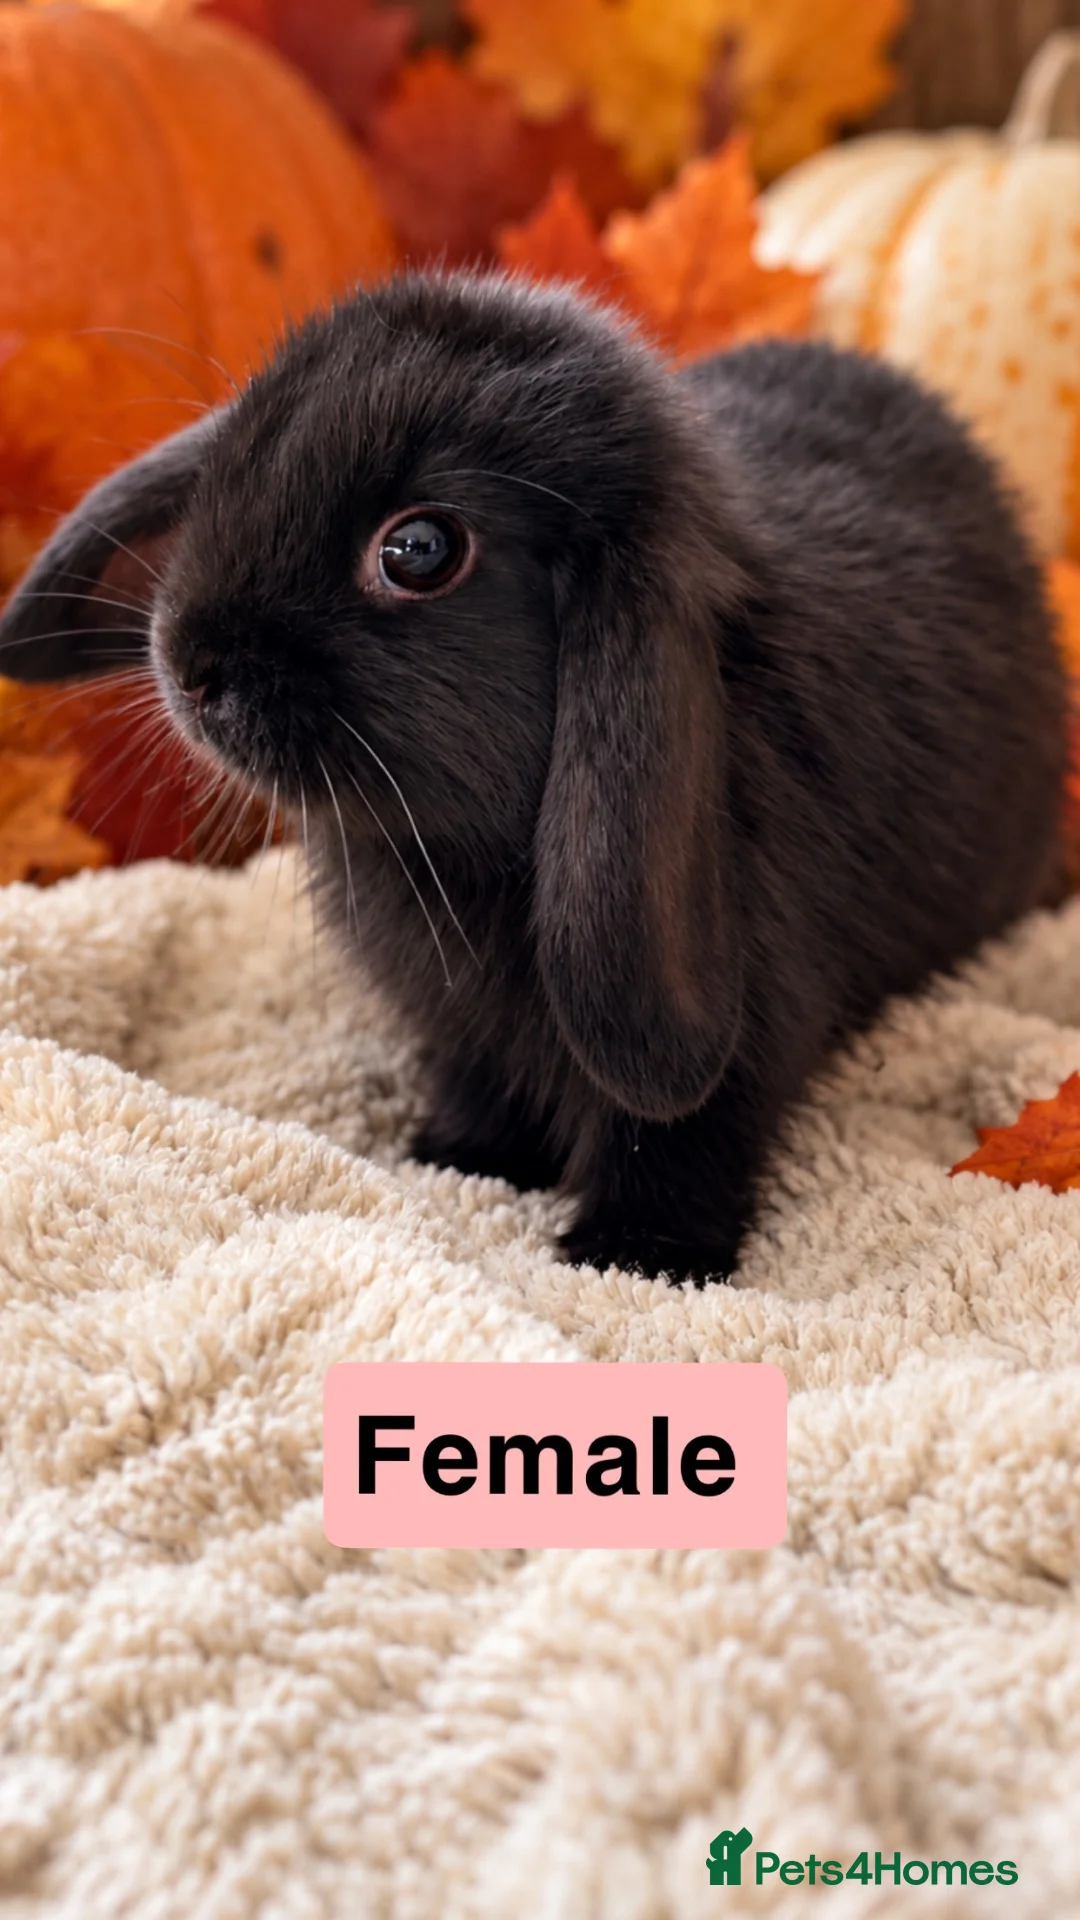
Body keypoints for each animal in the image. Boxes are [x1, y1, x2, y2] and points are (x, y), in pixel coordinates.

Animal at [0, 270, 1067, 1285]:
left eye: (418, 550)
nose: (192, 665)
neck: (450, 849)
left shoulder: (741, 1042)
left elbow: (679, 1137)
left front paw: (637, 1256)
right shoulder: (459, 1031)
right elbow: (483, 1090)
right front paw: (457, 1159)